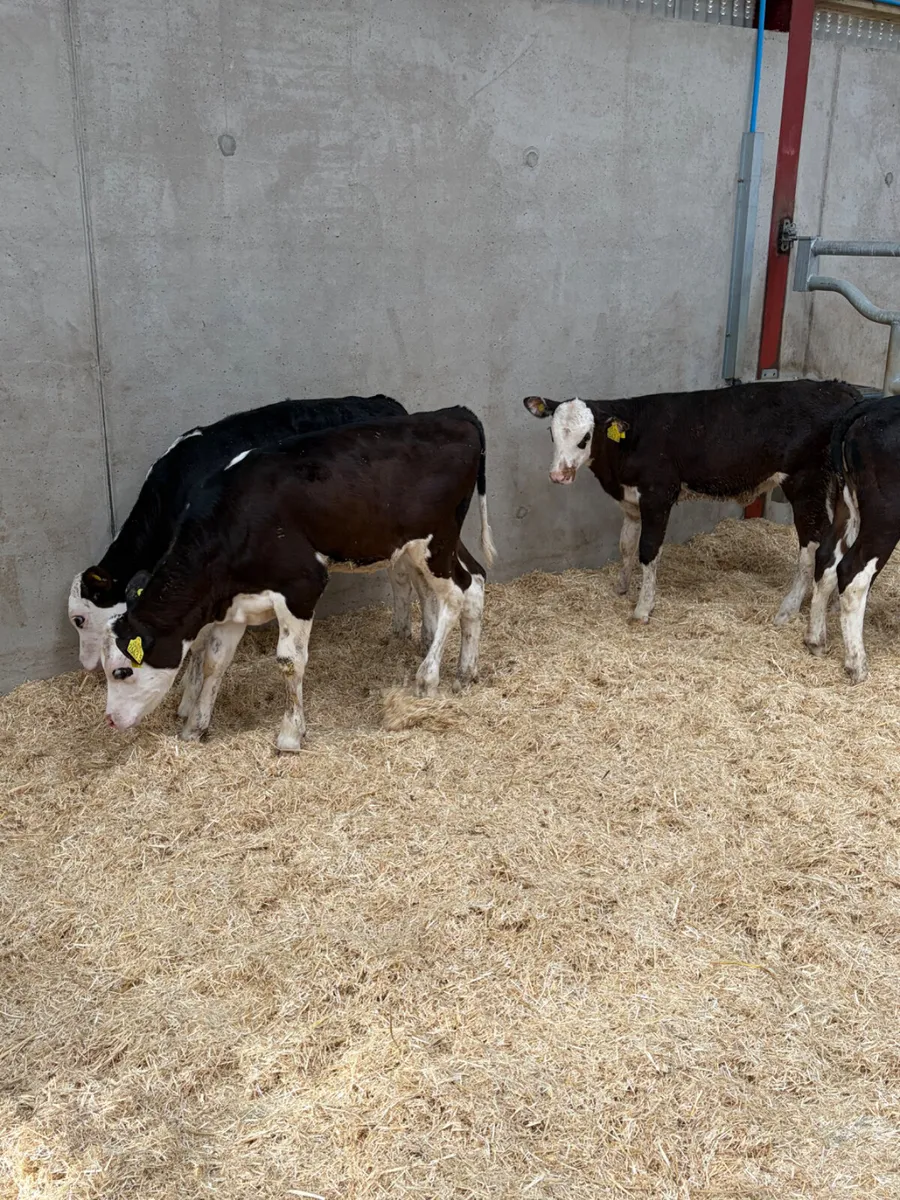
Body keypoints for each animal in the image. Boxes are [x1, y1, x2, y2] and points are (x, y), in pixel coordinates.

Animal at [99, 407, 496, 751]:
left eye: (121, 671)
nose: (110, 721)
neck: (235, 521)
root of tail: (454, 414)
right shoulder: (233, 604)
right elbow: (215, 662)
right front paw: (195, 728)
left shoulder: (302, 586)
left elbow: (290, 661)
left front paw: (290, 734)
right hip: (442, 541)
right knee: (475, 579)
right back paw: (465, 672)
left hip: (434, 542)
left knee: (456, 594)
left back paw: (428, 678)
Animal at [523, 379, 862, 623]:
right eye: (552, 434)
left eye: (586, 437)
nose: (559, 475)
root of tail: (838, 388)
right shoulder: (631, 501)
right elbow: (626, 545)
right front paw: (621, 587)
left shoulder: (658, 494)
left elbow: (648, 550)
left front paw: (642, 609)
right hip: (833, 491)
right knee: (836, 541)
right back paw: (830, 603)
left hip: (805, 485)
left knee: (812, 544)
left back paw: (788, 608)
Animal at [804, 395, 900, 682]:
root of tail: (872, 406)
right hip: (885, 517)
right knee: (852, 572)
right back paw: (856, 664)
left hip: (843, 505)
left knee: (826, 559)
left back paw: (816, 640)